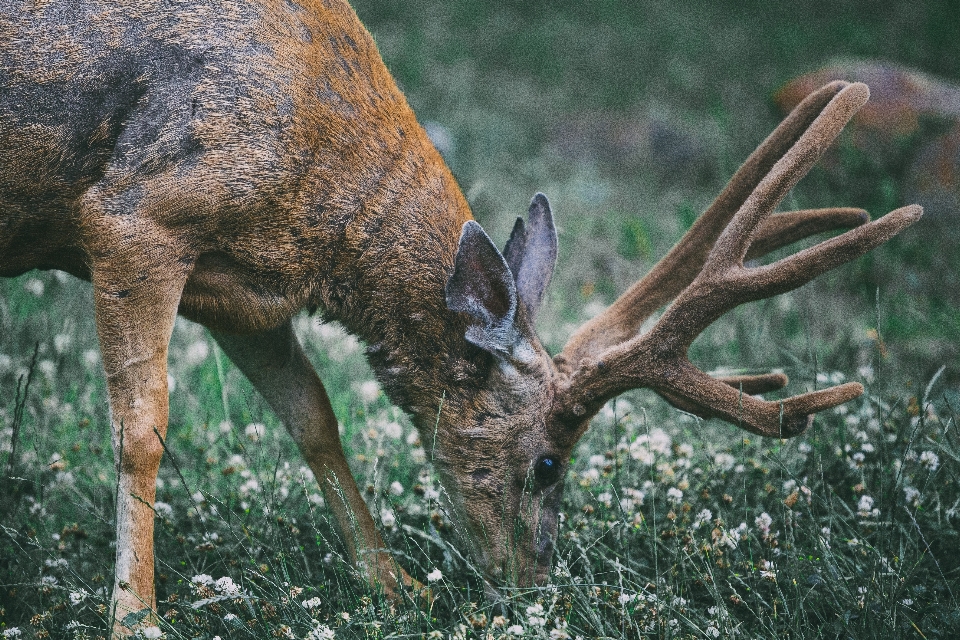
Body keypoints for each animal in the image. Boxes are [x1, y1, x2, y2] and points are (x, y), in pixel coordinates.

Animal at [0, 0, 924, 636]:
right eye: (548, 463)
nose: (533, 585)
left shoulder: (241, 290)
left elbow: (313, 415)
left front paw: (392, 585)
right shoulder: (135, 215)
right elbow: (142, 429)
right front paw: (135, 617)